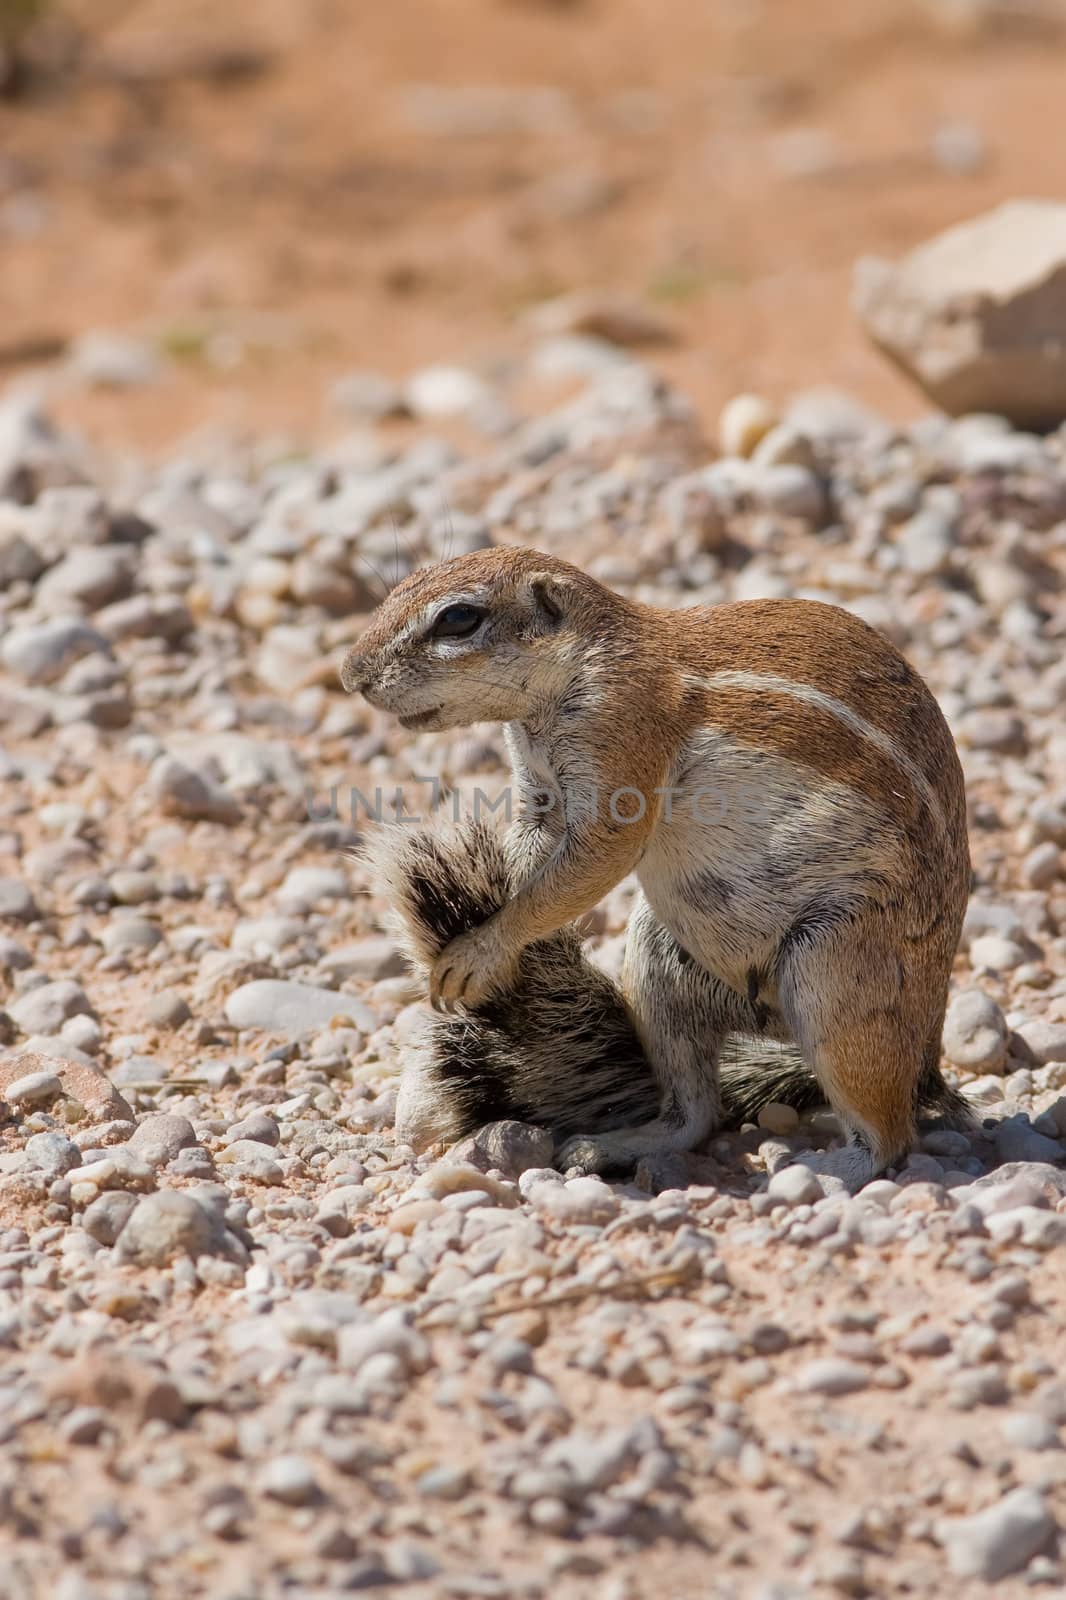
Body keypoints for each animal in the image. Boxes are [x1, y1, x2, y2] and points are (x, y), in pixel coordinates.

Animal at [342, 550, 973, 1190]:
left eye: (459, 618)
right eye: (402, 583)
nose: (351, 676)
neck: (580, 667)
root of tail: (928, 1050)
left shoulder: (621, 737)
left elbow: (597, 858)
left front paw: (481, 950)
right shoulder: (541, 792)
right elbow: (528, 853)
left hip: (836, 974)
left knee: (889, 1134)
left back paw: (822, 1166)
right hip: (658, 966)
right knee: (696, 1111)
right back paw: (612, 1146)